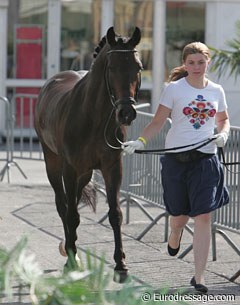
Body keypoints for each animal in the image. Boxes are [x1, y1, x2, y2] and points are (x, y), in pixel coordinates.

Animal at [34, 26, 142, 280]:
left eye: (138, 67)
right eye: (112, 68)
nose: (126, 113)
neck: (94, 119)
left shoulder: (112, 168)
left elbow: (115, 214)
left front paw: (121, 265)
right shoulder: (69, 169)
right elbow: (71, 213)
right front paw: (72, 260)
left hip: (84, 174)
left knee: (72, 203)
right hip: (53, 163)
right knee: (63, 205)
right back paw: (68, 249)